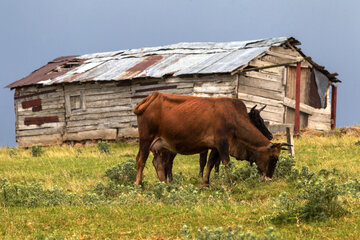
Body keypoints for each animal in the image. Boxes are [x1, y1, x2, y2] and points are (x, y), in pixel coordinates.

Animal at [134, 91, 292, 187]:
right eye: (273, 158)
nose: (269, 179)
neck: (233, 118)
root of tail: (153, 96)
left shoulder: (215, 147)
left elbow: (210, 164)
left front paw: (206, 183)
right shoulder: (222, 143)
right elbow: (226, 163)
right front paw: (230, 183)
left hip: (161, 146)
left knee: (159, 163)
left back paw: (164, 184)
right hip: (146, 139)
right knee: (141, 160)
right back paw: (139, 184)